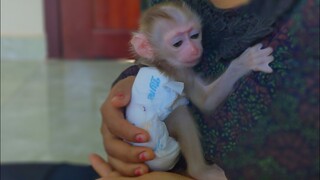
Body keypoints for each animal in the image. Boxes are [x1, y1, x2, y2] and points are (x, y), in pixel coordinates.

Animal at [125, 1, 272, 180]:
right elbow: (206, 102)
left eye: (194, 36)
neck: (160, 61)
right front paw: (246, 62)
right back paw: (200, 171)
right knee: (181, 114)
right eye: (177, 44)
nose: (194, 50)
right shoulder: (180, 73)